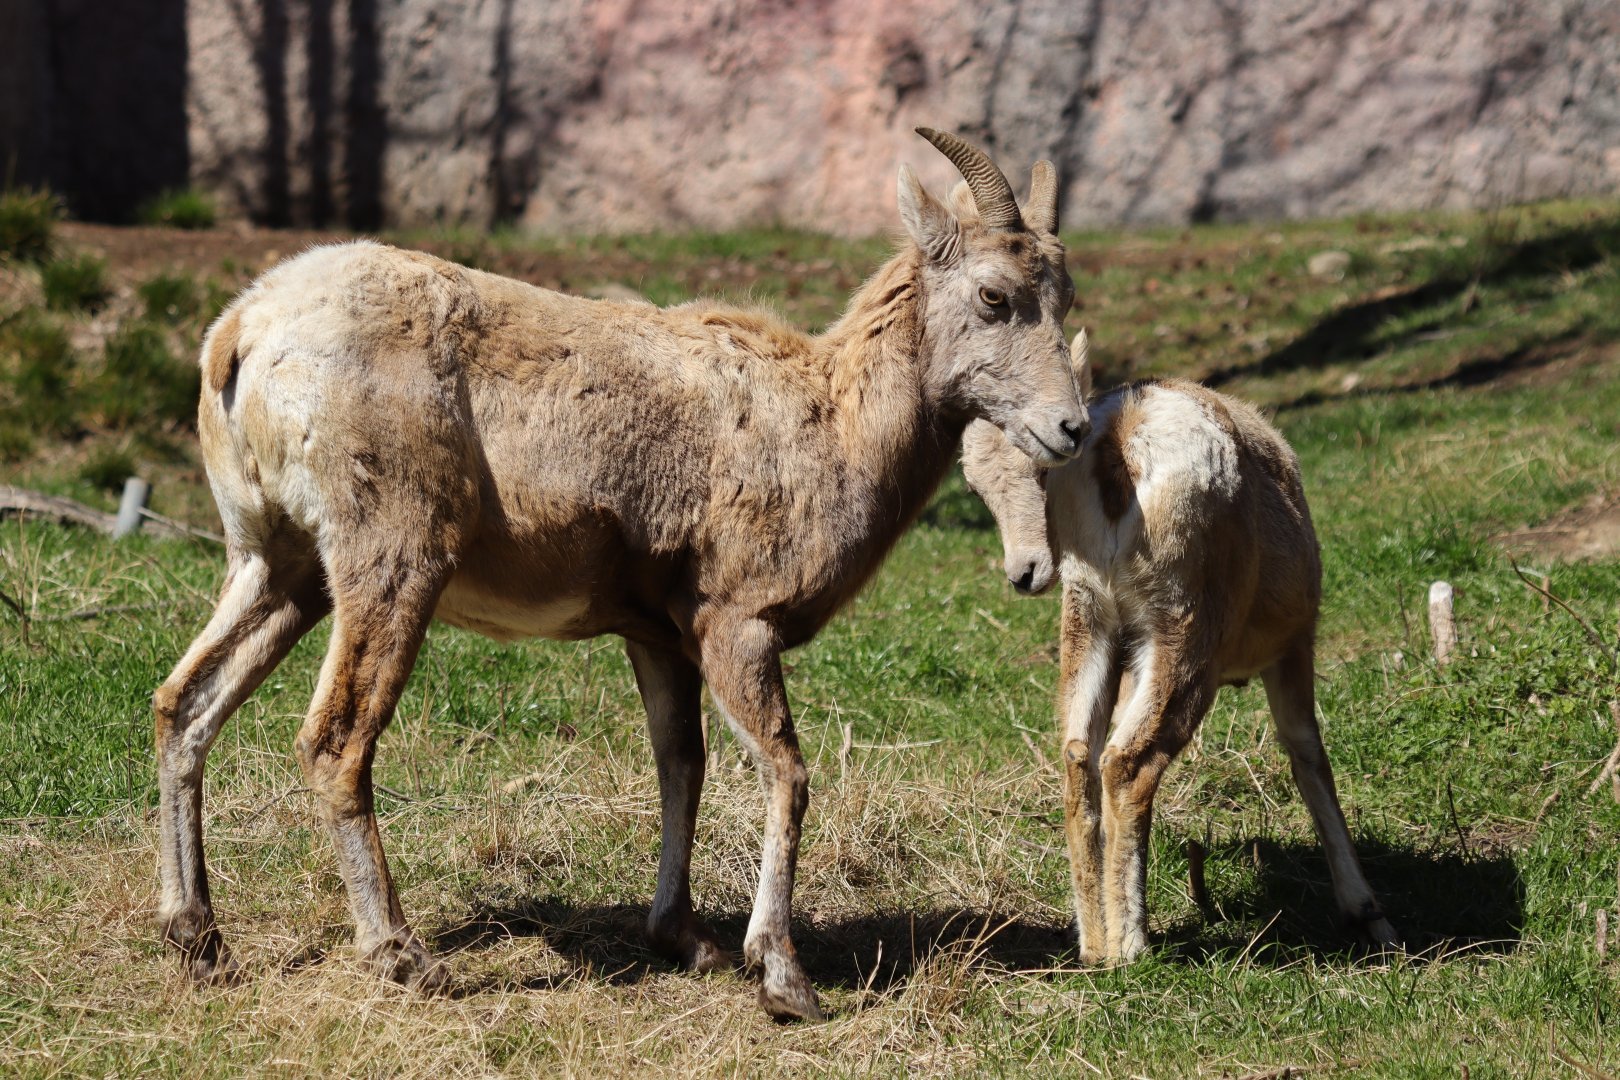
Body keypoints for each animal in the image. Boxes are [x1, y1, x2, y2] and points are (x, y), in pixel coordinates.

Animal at [153, 129, 1089, 1021]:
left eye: (1065, 298)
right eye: (995, 296)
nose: (1070, 428)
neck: (829, 423)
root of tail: (242, 335)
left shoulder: (659, 636)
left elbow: (683, 763)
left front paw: (687, 940)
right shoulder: (735, 623)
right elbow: (784, 771)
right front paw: (782, 980)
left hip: (279, 569)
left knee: (183, 705)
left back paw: (199, 942)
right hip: (391, 563)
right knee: (336, 739)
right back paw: (404, 957)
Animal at [961, 331, 1398, 963]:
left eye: (1039, 469)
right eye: (975, 485)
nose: (1023, 573)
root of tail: (1120, 444)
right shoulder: (1293, 647)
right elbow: (1308, 755)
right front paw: (1370, 917)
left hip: (1089, 617)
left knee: (1080, 753)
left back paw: (1094, 946)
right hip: (1184, 633)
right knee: (1129, 761)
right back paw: (1131, 947)